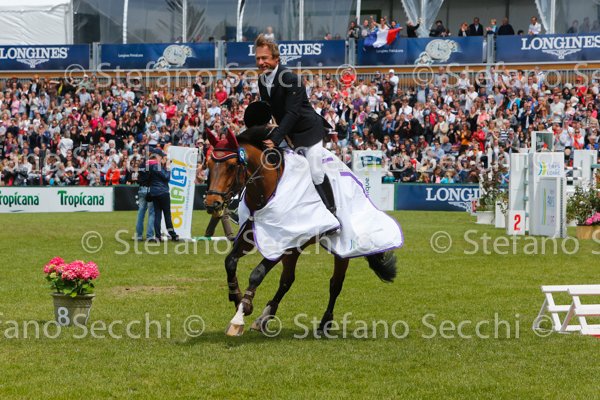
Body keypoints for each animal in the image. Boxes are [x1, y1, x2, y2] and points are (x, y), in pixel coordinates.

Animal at [204, 125, 398, 336]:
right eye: (208, 164)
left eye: (231, 166)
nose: (212, 203)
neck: (266, 190)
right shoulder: (255, 235)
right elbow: (230, 262)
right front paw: (238, 299)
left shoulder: (281, 244)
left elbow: (257, 274)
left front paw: (239, 315)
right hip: (297, 245)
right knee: (287, 280)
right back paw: (264, 317)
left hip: (341, 246)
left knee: (335, 284)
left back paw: (324, 324)